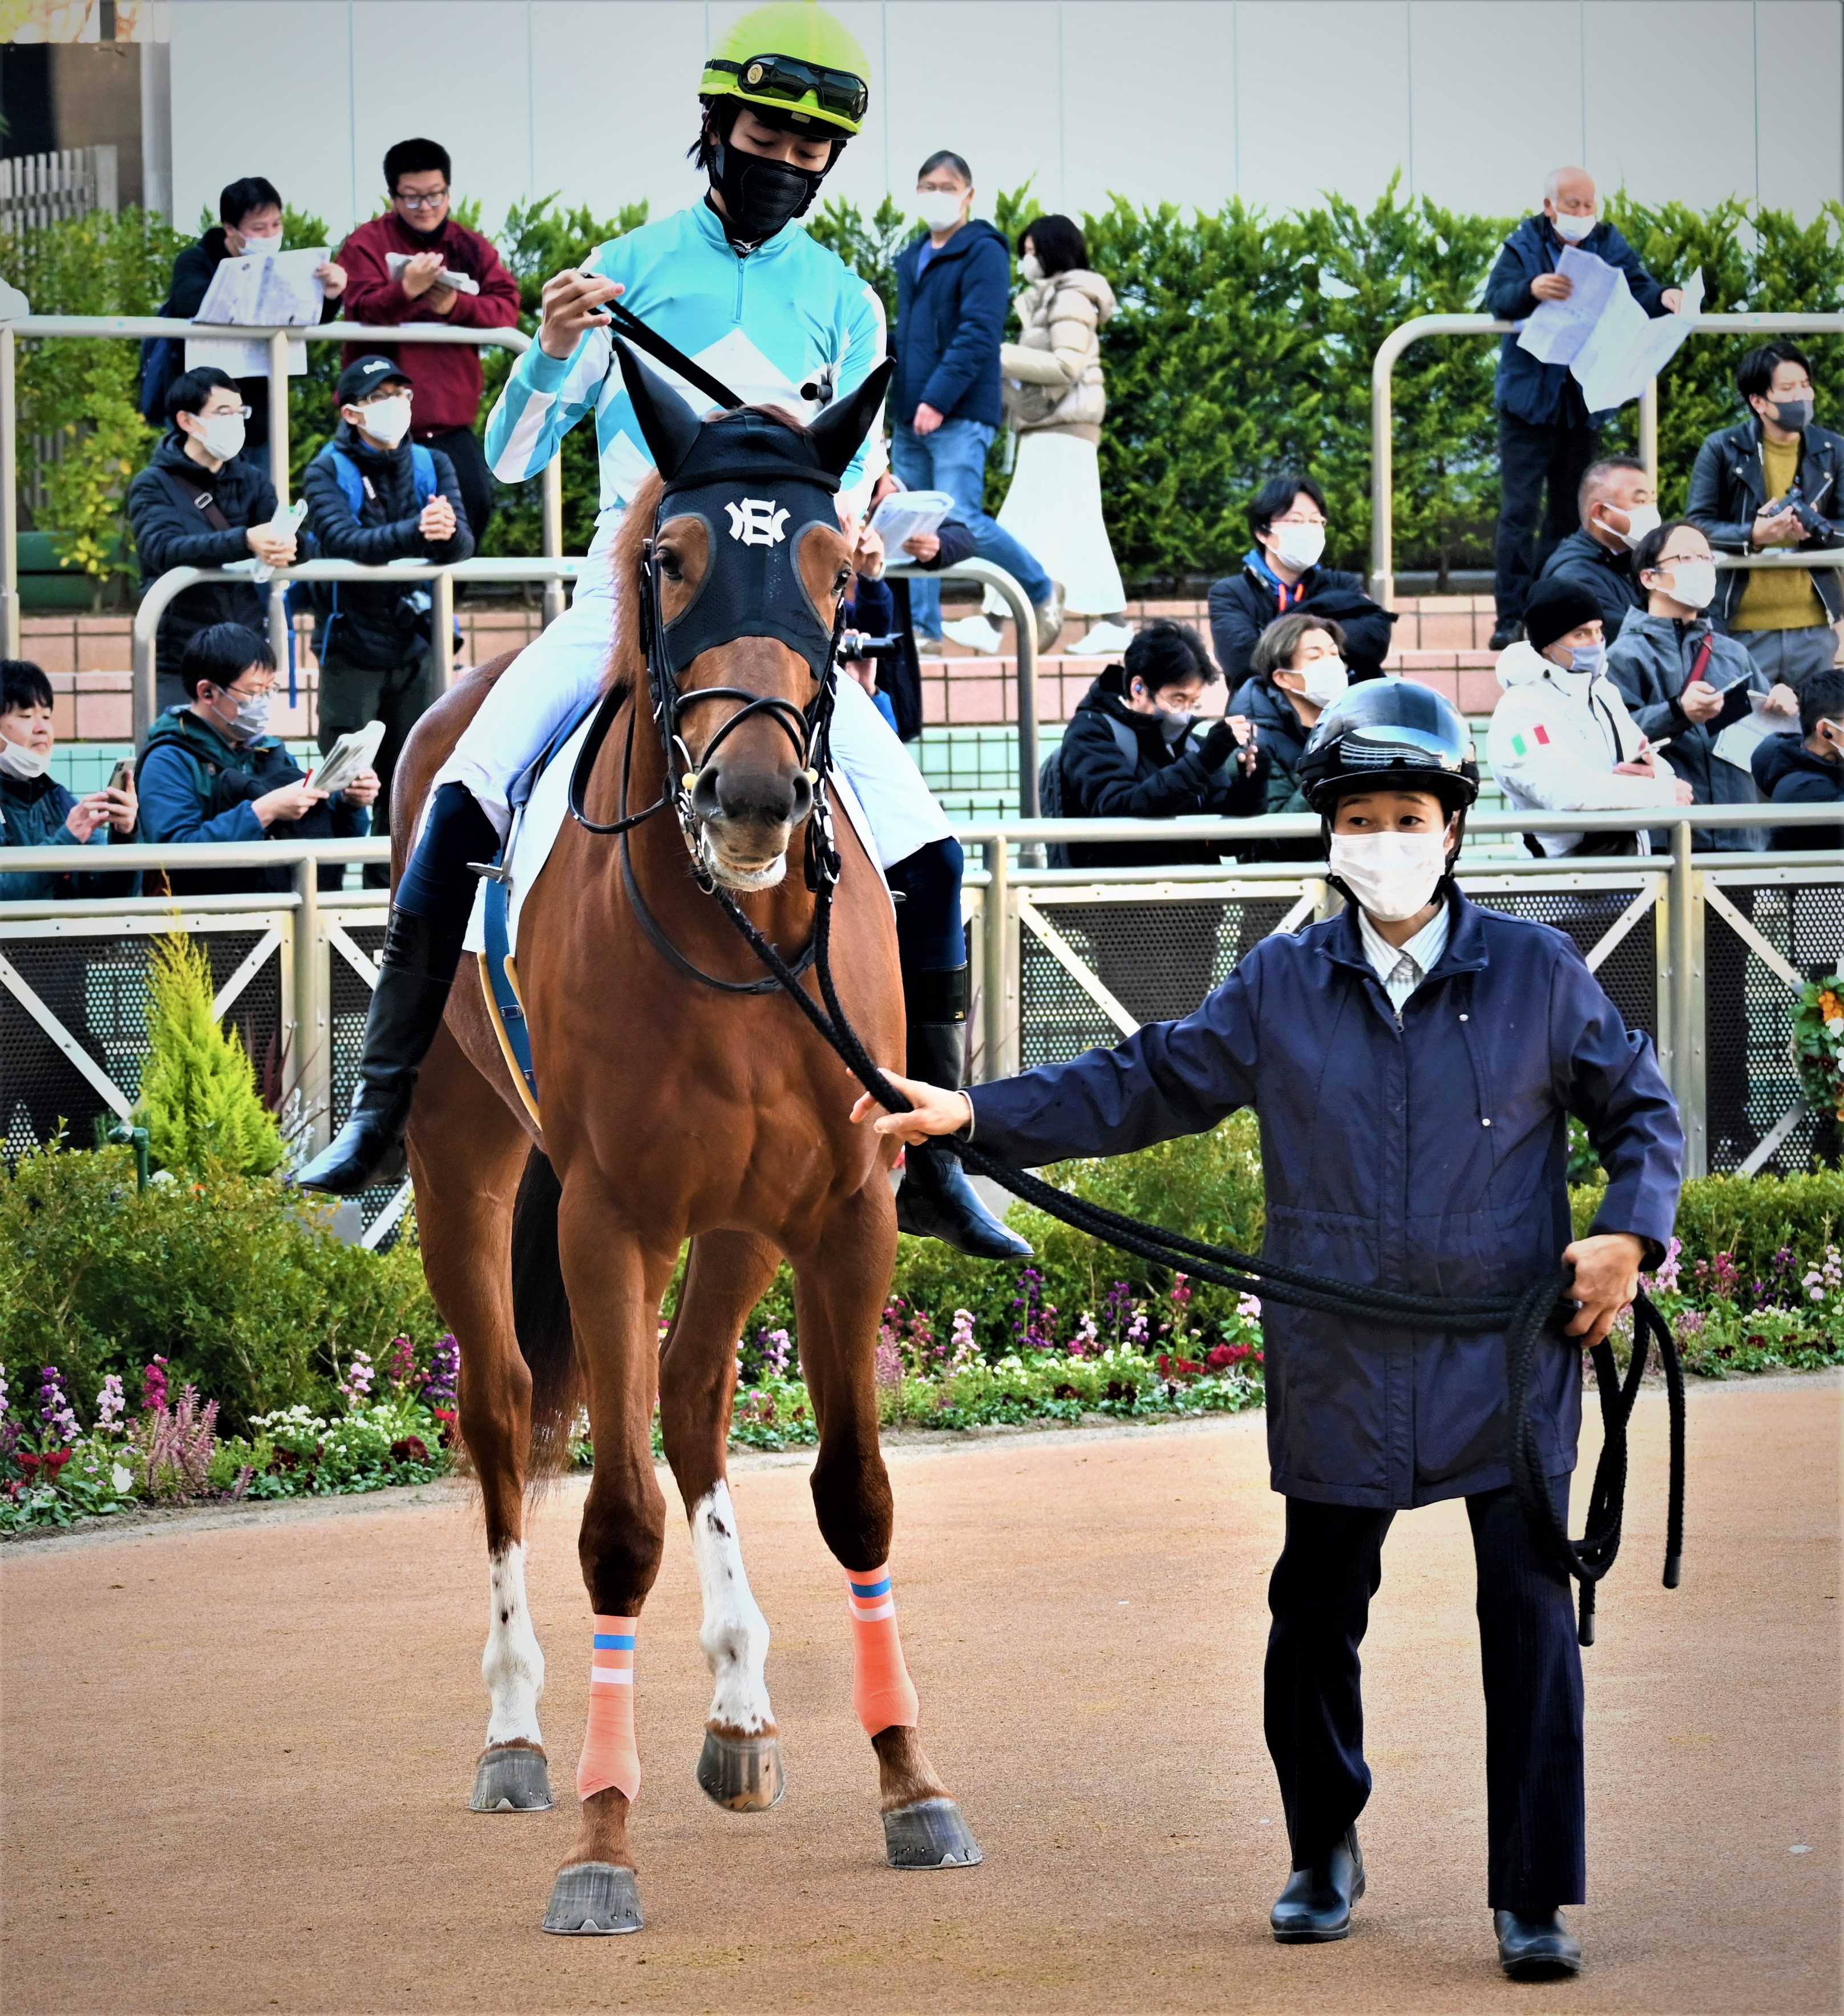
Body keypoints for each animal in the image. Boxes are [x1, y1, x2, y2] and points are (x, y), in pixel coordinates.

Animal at [391, 350, 979, 1935]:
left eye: (840, 570)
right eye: (671, 559)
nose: (756, 792)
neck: (735, 943)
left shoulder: (844, 1213)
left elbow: (854, 1492)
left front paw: (909, 1780)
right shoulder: (604, 1218)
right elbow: (615, 1526)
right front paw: (602, 1843)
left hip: (733, 1224)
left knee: (692, 1400)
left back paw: (737, 1712)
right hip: (462, 1166)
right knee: (499, 1421)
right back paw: (518, 1735)